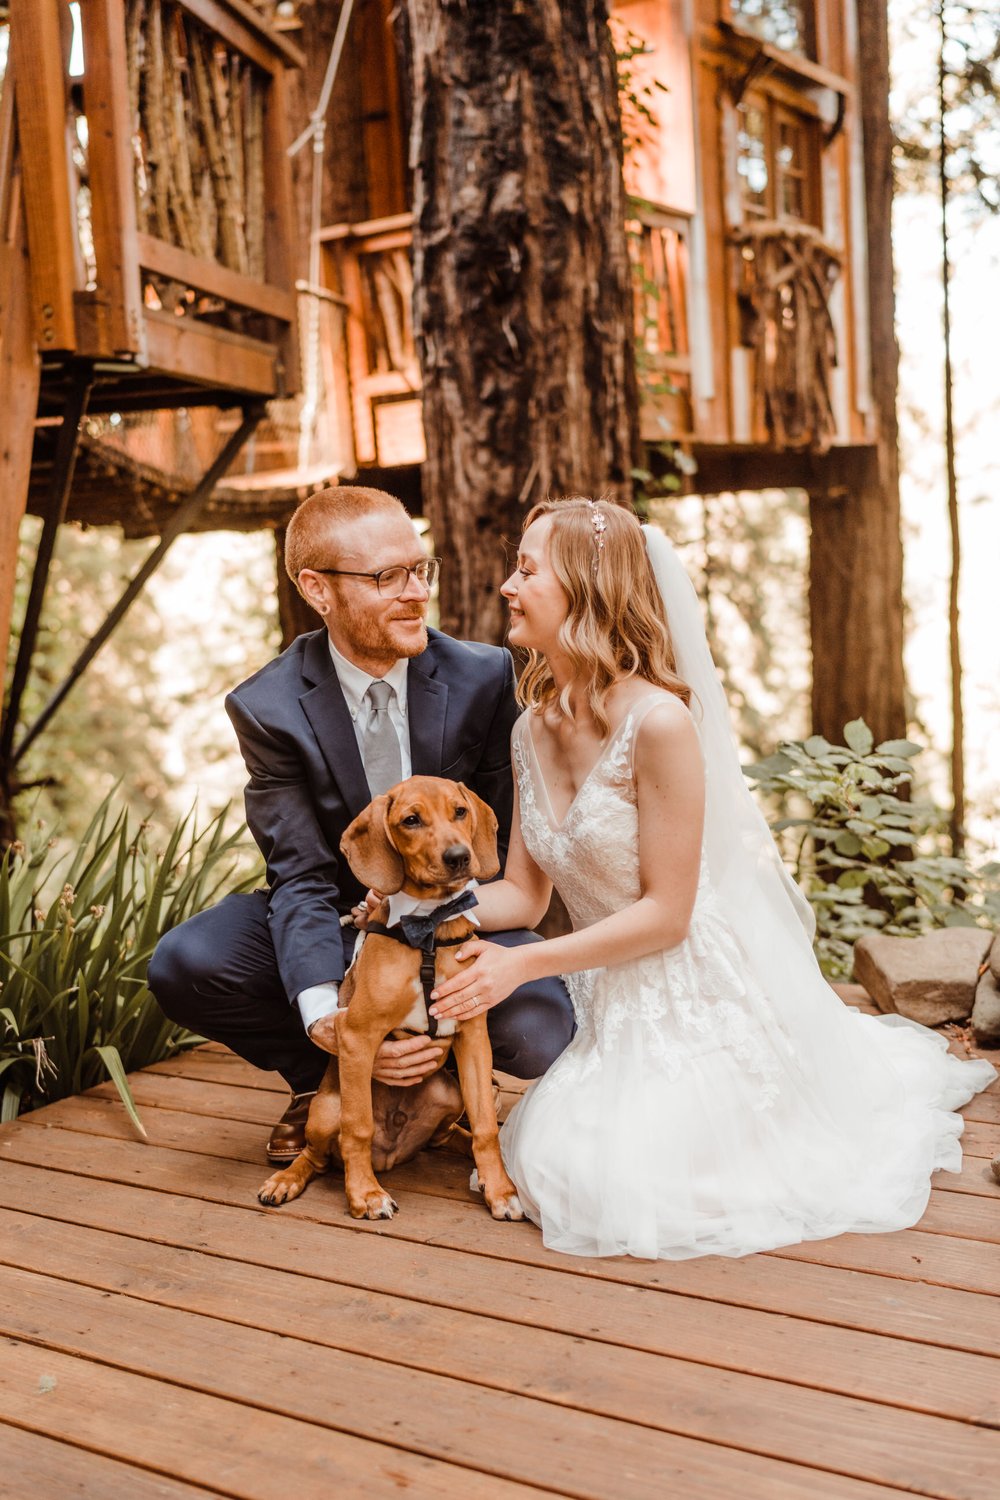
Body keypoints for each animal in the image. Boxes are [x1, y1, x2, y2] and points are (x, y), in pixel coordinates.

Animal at [256, 780, 524, 1224]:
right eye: (410, 820)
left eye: (460, 812)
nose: (459, 857)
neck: (429, 927)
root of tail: (392, 1155)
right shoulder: (356, 1037)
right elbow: (358, 1128)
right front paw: (365, 1195)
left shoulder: (472, 1036)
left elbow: (486, 1125)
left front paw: (501, 1189)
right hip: (325, 1109)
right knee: (318, 1154)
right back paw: (288, 1179)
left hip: (449, 1093)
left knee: (450, 1134)